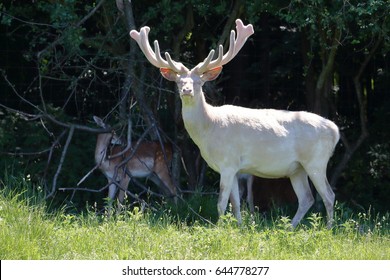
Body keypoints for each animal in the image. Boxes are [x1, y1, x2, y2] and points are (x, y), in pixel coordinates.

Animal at [129, 18, 340, 228]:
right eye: (179, 82)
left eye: (199, 82)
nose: (187, 90)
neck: (209, 129)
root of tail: (335, 130)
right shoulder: (236, 168)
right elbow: (236, 204)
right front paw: (239, 227)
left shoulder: (228, 162)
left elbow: (222, 203)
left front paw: (219, 228)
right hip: (297, 168)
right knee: (306, 198)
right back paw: (290, 228)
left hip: (316, 161)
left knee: (329, 196)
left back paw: (327, 229)